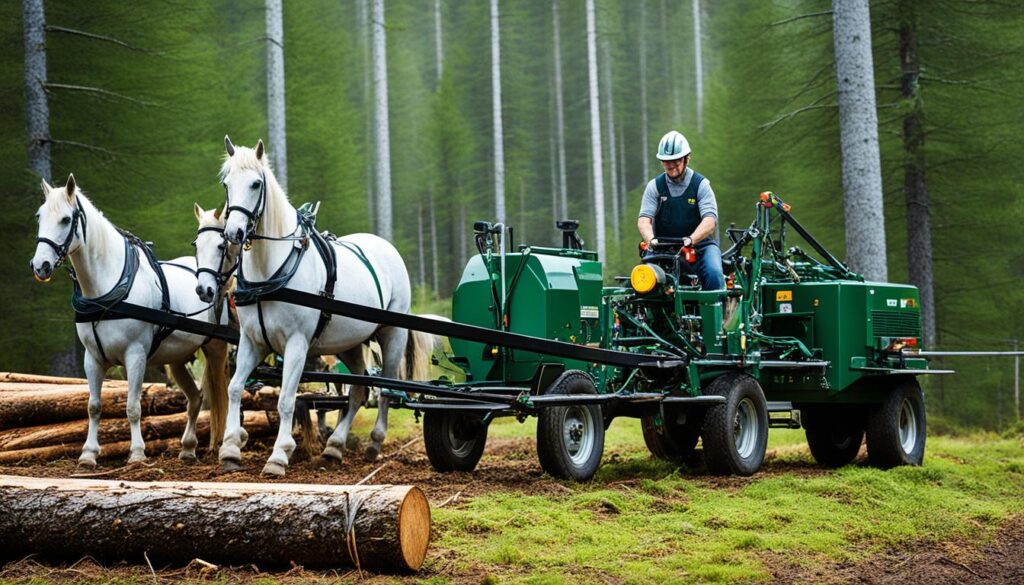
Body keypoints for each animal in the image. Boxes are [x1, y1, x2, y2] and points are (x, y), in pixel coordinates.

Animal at [29, 174, 228, 467]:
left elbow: (133, 406)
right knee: (195, 398)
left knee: (222, 394)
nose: (40, 265)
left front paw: (136, 453)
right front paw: (88, 454)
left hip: (215, 348)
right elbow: (93, 405)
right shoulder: (92, 358)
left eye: (66, 219)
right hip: (178, 358)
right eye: (39, 216)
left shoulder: (135, 355)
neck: (105, 293)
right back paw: (188, 448)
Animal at [211, 139, 428, 477]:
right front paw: (231, 449)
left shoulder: (296, 344)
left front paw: (278, 456)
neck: (270, 272)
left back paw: (374, 443)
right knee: (358, 391)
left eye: (256, 183)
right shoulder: (252, 341)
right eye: (226, 184)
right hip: (349, 344)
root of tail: (384, 245)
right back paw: (334, 447)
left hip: (391, 334)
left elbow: (287, 399)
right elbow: (235, 388)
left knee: (386, 388)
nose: (234, 233)